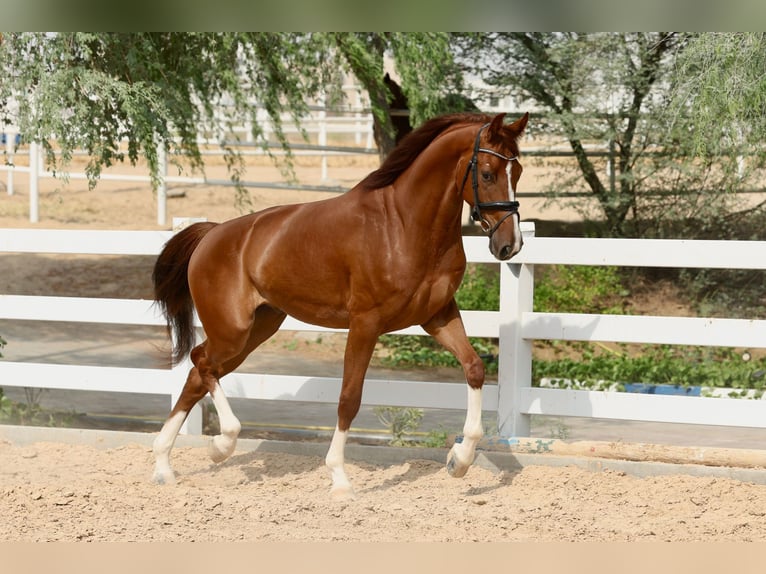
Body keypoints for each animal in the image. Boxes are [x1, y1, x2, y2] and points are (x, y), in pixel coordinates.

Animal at [151, 111, 529, 500]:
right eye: (488, 173)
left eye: (517, 171)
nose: (510, 245)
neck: (404, 225)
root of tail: (210, 234)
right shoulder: (365, 323)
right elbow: (349, 397)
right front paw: (340, 479)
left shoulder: (438, 315)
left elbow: (474, 368)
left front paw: (459, 461)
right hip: (232, 330)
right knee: (201, 362)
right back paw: (221, 445)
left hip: (257, 329)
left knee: (197, 375)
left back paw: (165, 466)